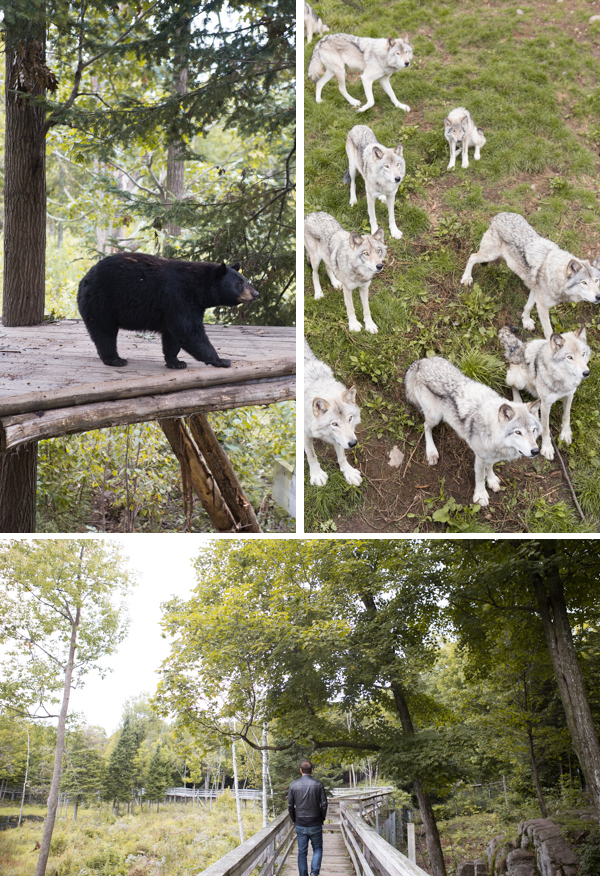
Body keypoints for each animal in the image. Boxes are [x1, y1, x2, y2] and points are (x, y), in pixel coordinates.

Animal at [76, 252, 258, 368]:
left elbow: (173, 334)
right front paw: (222, 360)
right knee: (104, 331)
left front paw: (176, 362)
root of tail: (85, 278)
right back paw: (115, 359)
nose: (256, 293)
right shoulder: (178, 297)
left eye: (245, 280)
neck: (197, 288)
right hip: (101, 301)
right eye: (239, 283)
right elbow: (189, 331)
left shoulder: (178, 306)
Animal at [304, 338, 360, 486]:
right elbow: (312, 455)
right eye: (334, 424)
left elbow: (342, 457)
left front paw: (349, 473)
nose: (353, 443)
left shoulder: (340, 439)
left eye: (350, 418)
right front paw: (317, 475)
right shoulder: (305, 434)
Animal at [408, 356, 540, 506]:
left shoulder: (491, 455)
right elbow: (480, 477)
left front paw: (492, 480)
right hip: (434, 417)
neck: (490, 430)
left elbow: (490, 467)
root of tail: (422, 361)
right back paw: (431, 453)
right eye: (518, 432)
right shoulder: (480, 457)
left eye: (533, 430)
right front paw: (481, 495)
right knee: (426, 427)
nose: (536, 451)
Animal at [462, 210, 596, 338]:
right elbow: (549, 332)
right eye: (584, 282)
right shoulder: (542, 306)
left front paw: (525, 321)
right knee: (472, 257)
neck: (553, 275)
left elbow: (528, 307)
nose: (598, 296)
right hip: (490, 255)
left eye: (596, 281)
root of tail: (499, 214)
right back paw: (466, 278)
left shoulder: (535, 292)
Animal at [496, 326, 592, 462]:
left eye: (583, 354)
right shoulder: (545, 404)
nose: (586, 373)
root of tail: (517, 349)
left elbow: (566, 415)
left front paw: (566, 433)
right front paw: (547, 448)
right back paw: (518, 401)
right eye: (569, 357)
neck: (562, 380)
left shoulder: (569, 394)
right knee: (513, 386)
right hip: (519, 381)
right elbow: (546, 428)